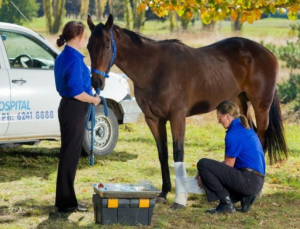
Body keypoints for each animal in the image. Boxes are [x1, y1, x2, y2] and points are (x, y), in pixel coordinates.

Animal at [86, 13, 288, 208]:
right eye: (88, 46)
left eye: (106, 45)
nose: (96, 82)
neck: (154, 69)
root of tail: (267, 53)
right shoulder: (154, 120)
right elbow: (162, 154)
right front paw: (164, 192)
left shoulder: (177, 117)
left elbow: (178, 153)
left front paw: (179, 198)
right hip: (240, 103)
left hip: (261, 106)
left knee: (261, 139)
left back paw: (257, 192)